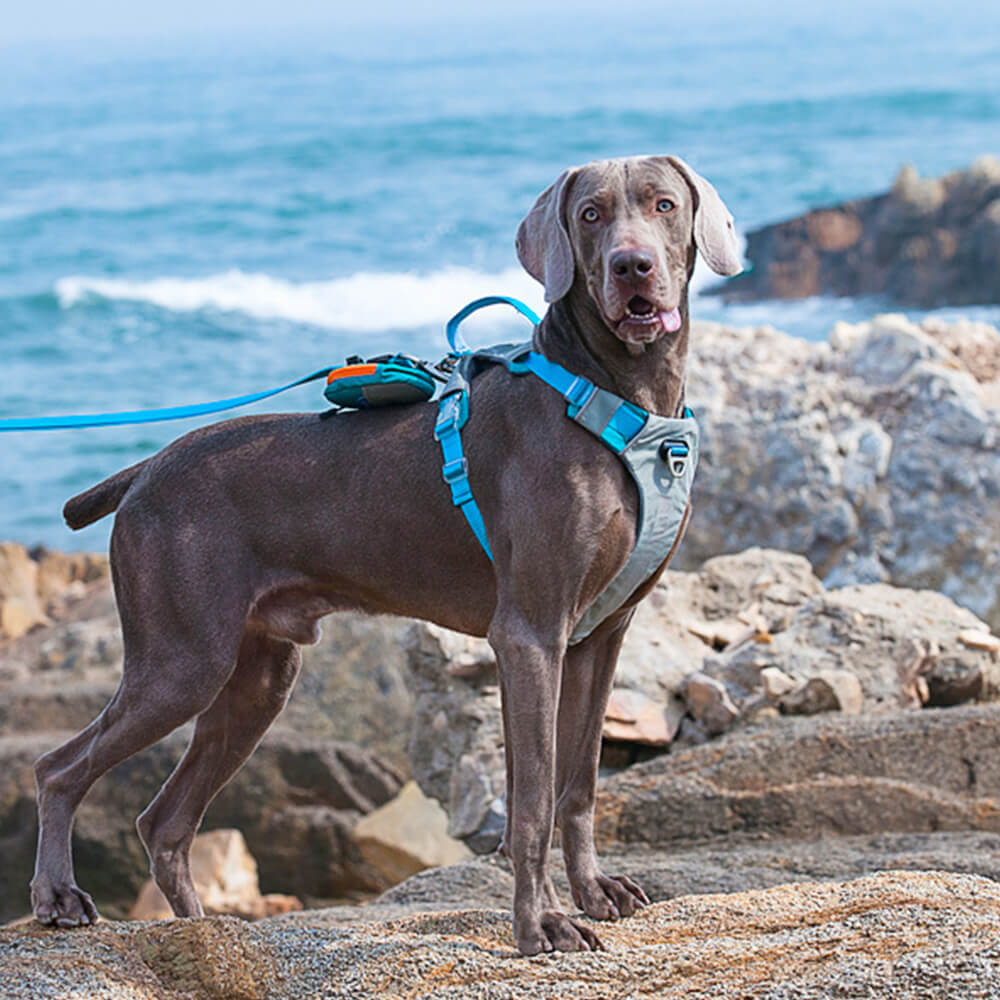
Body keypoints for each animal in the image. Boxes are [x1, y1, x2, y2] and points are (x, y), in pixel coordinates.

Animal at [31, 154, 740, 952]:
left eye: (664, 204)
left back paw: (202, 936)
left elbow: (579, 784)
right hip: (181, 660)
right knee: (59, 769)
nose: (632, 266)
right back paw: (59, 897)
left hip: (258, 677)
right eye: (590, 214)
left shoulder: (599, 636)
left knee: (166, 822)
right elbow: (531, 803)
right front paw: (542, 925)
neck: (618, 396)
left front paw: (593, 893)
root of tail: (144, 470)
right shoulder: (529, 635)